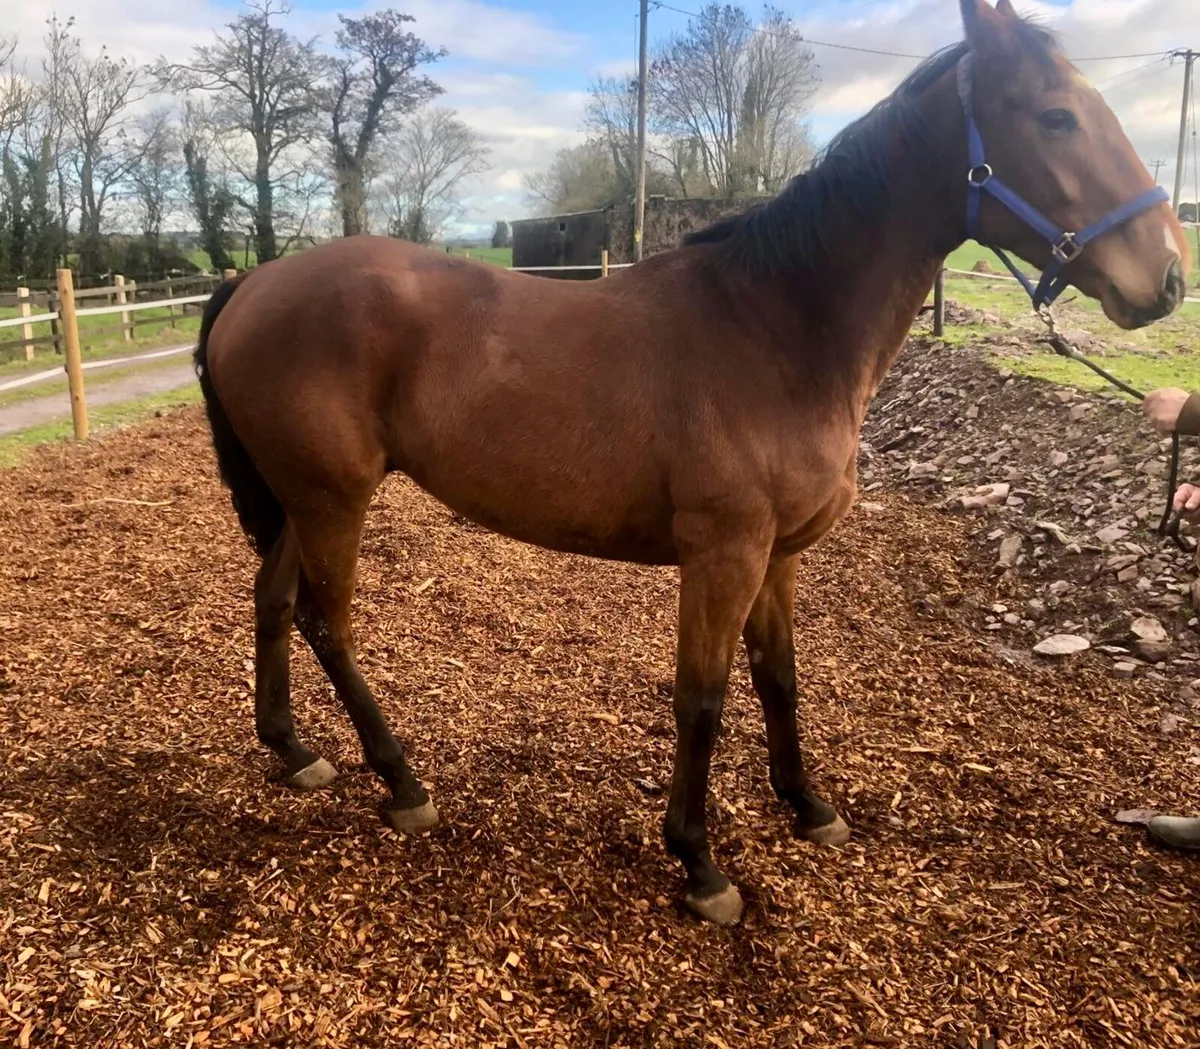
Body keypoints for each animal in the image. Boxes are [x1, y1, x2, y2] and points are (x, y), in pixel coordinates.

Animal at [194, 0, 1190, 926]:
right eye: (1057, 116)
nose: (1169, 278)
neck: (775, 329)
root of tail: (256, 281)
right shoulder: (724, 554)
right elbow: (702, 697)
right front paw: (700, 863)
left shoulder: (778, 556)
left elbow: (779, 676)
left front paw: (808, 805)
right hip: (334, 499)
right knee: (328, 625)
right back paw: (402, 783)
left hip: (300, 499)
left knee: (273, 602)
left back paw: (294, 751)